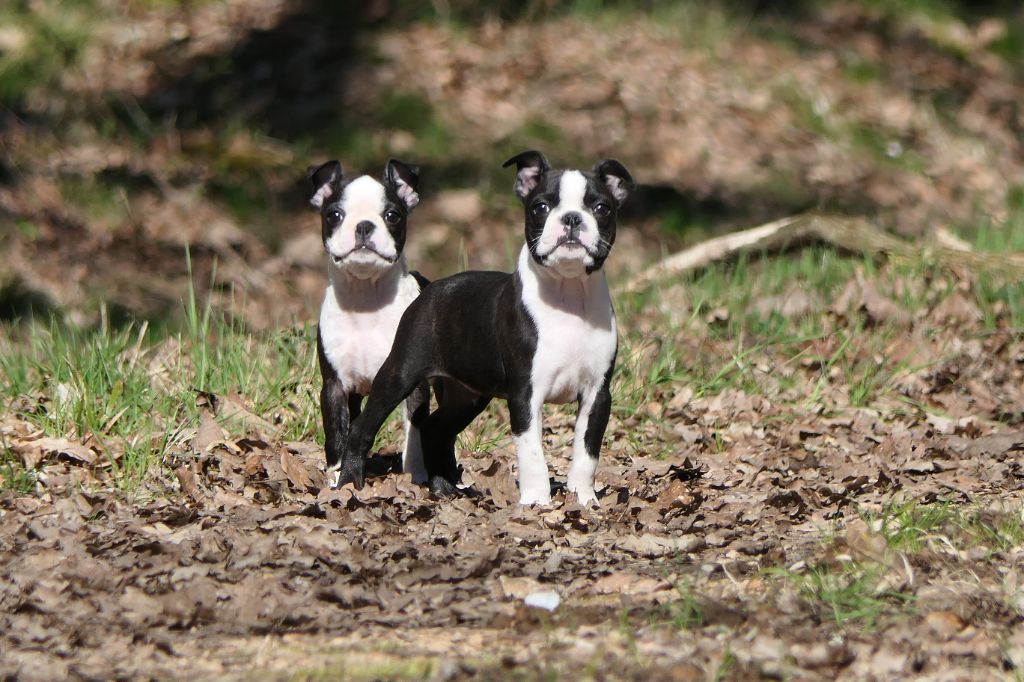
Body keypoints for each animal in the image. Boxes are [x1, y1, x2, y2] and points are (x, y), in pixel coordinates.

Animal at [305, 159, 430, 489]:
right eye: (334, 215)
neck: (365, 302)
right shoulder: (334, 385)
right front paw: (337, 476)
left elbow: (415, 429)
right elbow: (336, 433)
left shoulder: (409, 382)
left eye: (392, 215)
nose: (363, 225)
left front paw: (415, 474)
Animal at [331, 150, 630, 503]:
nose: (571, 218)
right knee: (364, 426)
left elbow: (587, 452)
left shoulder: (597, 394)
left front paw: (583, 500)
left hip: (469, 396)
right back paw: (349, 482)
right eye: (540, 207)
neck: (568, 295)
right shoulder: (525, 394)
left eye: (602, 208)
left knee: (434, 430)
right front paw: (537, 502)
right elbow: (532, 452)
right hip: (399, 374)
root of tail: (430, 288)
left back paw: (444, 489)